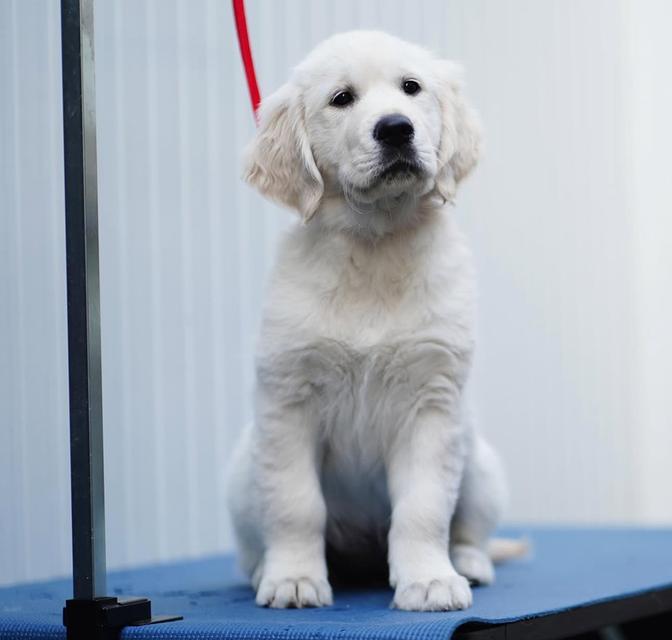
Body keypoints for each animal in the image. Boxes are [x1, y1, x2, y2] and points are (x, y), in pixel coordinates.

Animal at [228, 31, 516, 616]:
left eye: (412, 88)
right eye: (341, 99)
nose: (396, 128)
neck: (376, 242)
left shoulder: (432, 402)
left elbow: (423, 508)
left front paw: (430, 581)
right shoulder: (288, 400)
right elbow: (294, 504)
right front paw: (295, 579)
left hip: (479, 463)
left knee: (471, 529)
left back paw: (469, 565)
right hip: (242, 473)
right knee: (254, 542)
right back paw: (266, 569)